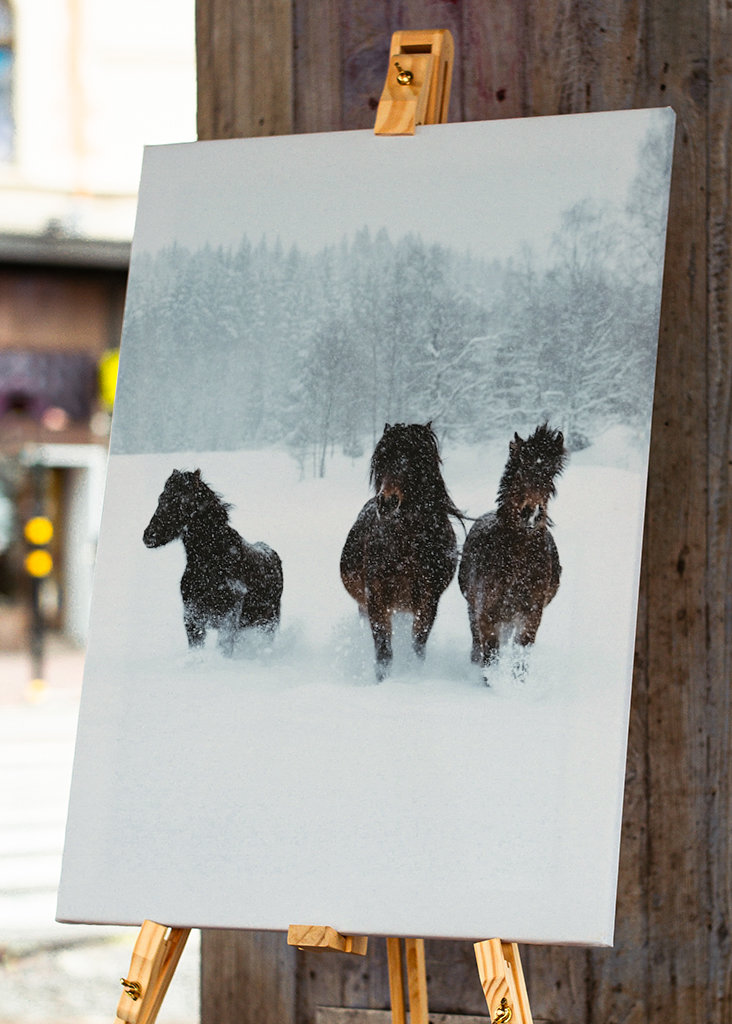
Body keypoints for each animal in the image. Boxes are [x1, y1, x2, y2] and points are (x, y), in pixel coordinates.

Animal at [142, 469, 283, 655]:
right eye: (161, 498)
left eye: (180, 500)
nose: (149, 536)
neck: (211, 562)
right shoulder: (193, 619)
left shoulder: (228, 620)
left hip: (267, 623)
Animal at [340, 422, 465, 681]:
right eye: (382, 459)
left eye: (414, 459)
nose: (387, 502)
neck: (407, 546)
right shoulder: (376, 598)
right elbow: (384, 651)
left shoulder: (428, 600)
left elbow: (417, 644)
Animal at [458, 424, 567, 679]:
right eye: (520, 471)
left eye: (549, 475)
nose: (532, 513)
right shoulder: (486, 611)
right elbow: (490, 654)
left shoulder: (531, 614)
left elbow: (521, 654)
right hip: (473, 606)